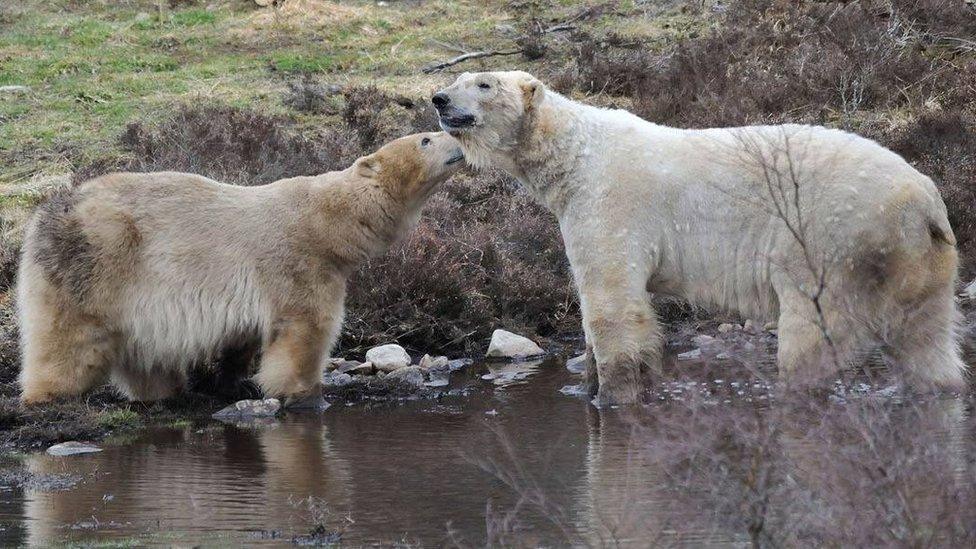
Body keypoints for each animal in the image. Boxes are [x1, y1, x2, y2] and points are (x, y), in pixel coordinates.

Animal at [16, 132, 466, 402]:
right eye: (426, 138)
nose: (457, 139)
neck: (324, 220)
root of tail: (46, 212)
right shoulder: (296, 262)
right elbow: (305, 327)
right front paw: (301, 390)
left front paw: (234, 379)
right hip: (96, 262)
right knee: (70, 337)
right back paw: (49, 395)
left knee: (146, 352)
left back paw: (166, 391)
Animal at [434, 70, 968, 404]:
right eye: (457, 80)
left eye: (483, 83)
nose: (438, 98)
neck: (574, 152)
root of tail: (924, 198)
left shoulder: (610, 203)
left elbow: (613, 302)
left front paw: (613, 397)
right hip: (922, 258)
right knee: (928, 339)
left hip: (835, 239)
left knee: (812, 334)